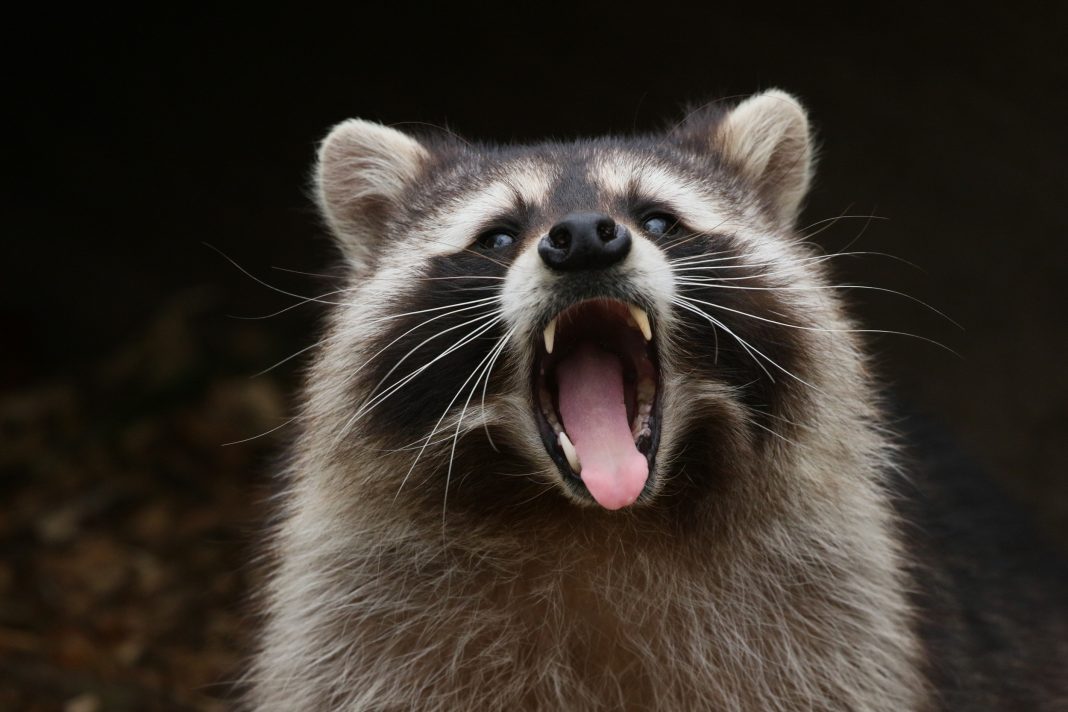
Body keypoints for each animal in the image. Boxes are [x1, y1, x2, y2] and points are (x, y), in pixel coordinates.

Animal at [250, 90, 1068, 710]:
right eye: (499, 236)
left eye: (658, 220)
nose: (584, 236)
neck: (597, 523)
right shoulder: (361, 627)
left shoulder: (834, 620)